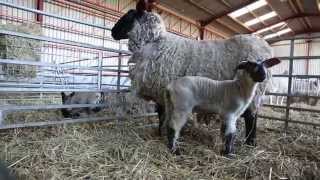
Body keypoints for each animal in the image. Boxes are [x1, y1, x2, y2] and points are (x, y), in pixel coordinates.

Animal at [111, 0, 274, 145]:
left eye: (128, 16)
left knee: (251, 117)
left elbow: (162, 114)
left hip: (255, 90)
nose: (112, 32)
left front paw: (161, 133)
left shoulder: (162, 88)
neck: (156, 42)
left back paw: (250, 142)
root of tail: (265, 46)